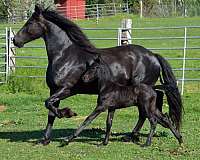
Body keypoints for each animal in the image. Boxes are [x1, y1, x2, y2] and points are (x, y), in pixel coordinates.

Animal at [12, 5, 183, 145]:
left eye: (29, 23)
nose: (15, 40)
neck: (64, 55)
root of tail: (153, 55)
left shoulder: (66, 89)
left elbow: (49, 105)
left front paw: (68, 113)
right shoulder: (53, 90)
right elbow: (50, 112)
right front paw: (45, 139)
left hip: (143, 87)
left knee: (144, 112)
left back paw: (132, 135)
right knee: (153, 104)